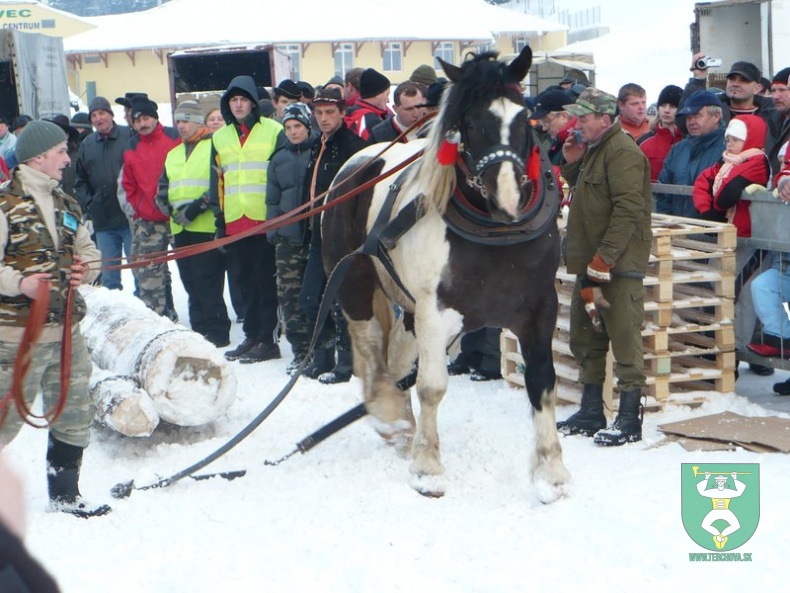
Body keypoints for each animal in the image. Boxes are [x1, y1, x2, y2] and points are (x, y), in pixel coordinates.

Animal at [324, 46, 572, 502]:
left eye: (523, 116)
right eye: (469, 123)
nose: (507, 197)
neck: (495, 232)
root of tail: (359, 161)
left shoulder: (539, 306)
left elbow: (543, 382)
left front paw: (551, 472)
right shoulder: (434, 310)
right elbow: (432, 386)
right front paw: (428, 469)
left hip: (407, 308)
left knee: (396, 358)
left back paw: (404, 426)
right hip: (356, 284)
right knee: (372, 349)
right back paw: (390, 414)